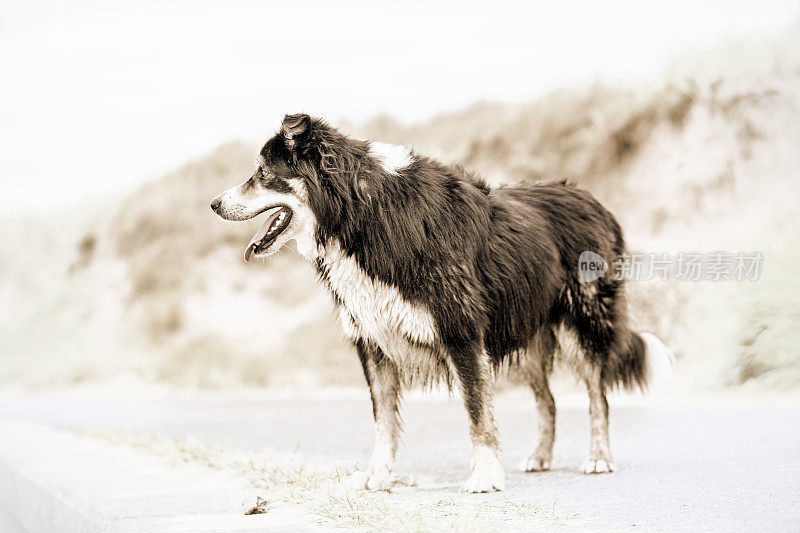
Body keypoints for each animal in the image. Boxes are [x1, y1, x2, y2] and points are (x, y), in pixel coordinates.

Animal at [209, 114, 672, 492]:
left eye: (262, 173)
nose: (214, 204)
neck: (361, 215)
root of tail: (595, 201)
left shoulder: (461, 332)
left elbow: (477, 414)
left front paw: (484, 478)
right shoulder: (373, 342)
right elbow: (384, 421)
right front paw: (377, 477)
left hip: (582, 323)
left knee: (598, 396)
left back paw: (598, 458)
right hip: (523, 337)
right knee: (549, 400)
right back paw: (540, 457)